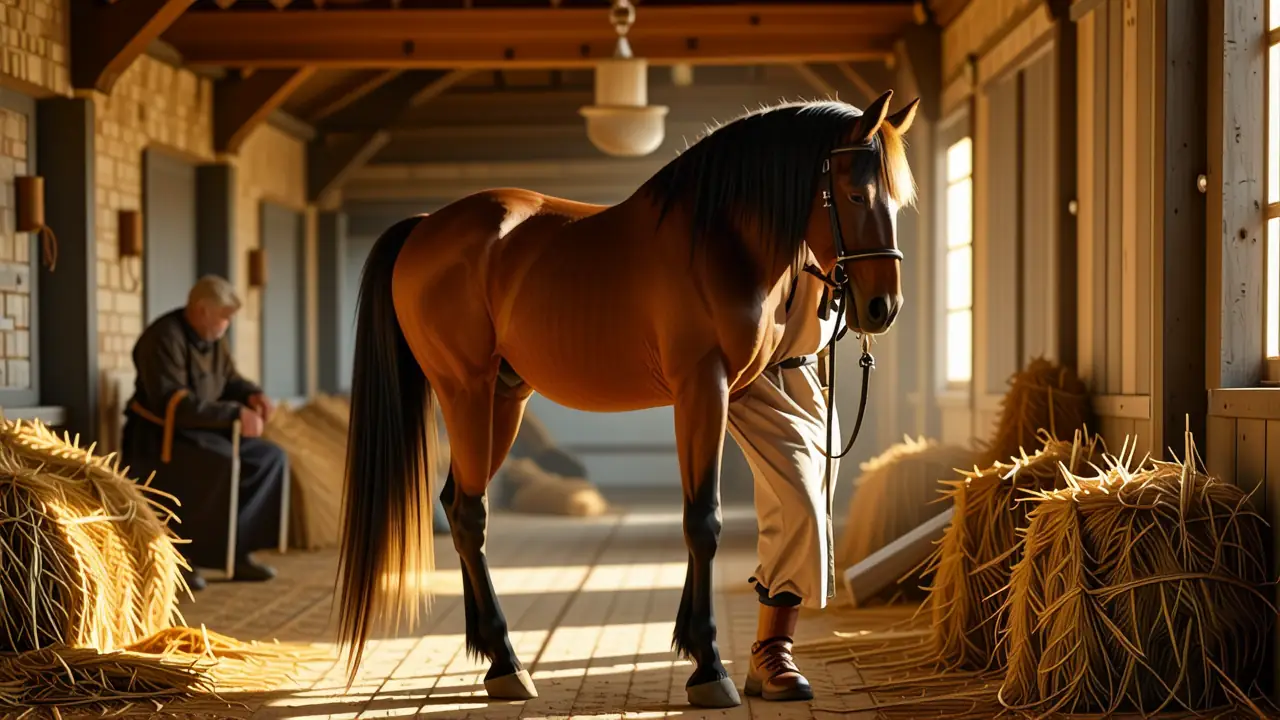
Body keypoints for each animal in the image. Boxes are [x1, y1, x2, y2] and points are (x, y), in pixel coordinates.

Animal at [337, 89, 920, 708]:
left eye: (896, 200)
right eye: (856, 194)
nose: (882, 308)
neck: (719, 239)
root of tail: (425, 227)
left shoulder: (728, 393)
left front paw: (704, 652)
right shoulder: (701, 388)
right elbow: (702, 521)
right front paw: (708, 666)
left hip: (503, 400)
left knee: (458, 503)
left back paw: (492, 657)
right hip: (464, 390)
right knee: (470, 515)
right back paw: (508, 662)